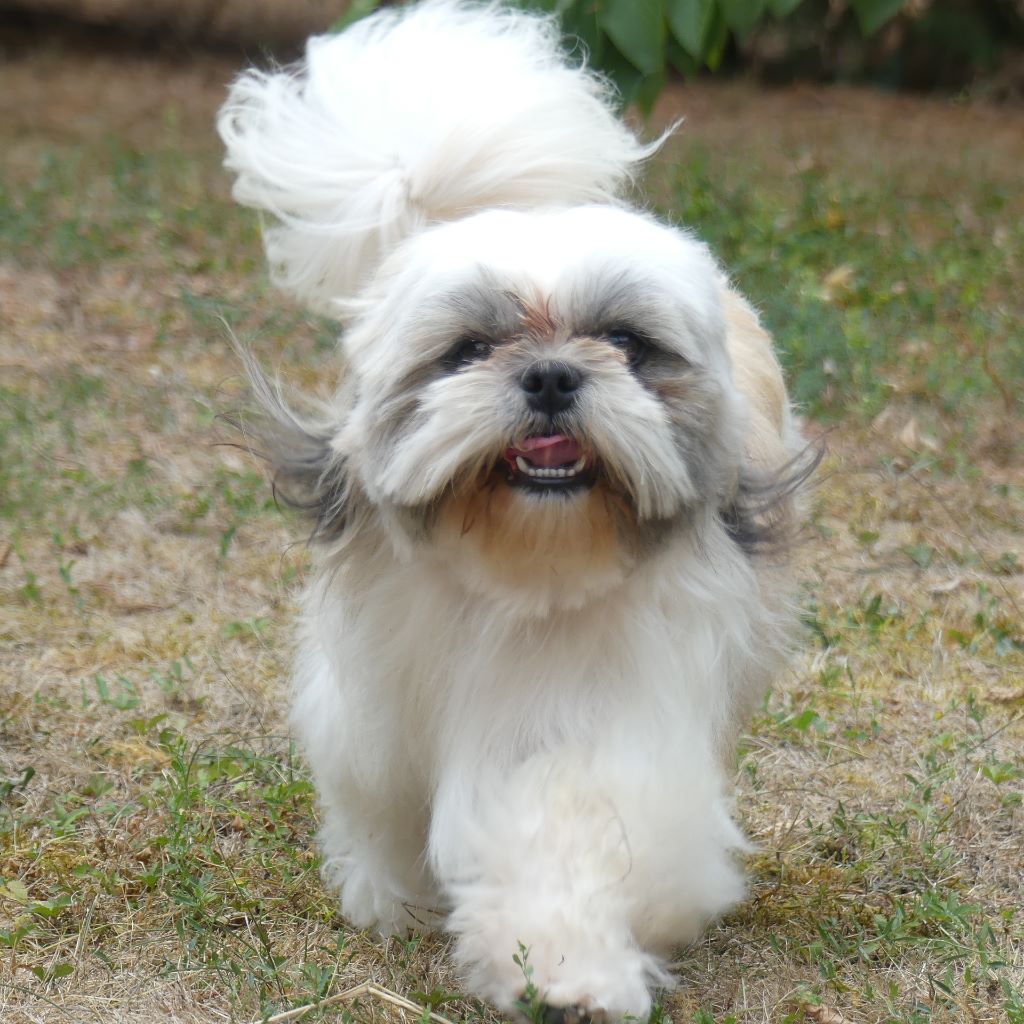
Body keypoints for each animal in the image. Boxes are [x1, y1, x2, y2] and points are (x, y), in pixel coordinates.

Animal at [218, 4, 815, 1019]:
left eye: (625, 343)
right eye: (469, 350)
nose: (549, 374)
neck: (519, 575)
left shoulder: (602, 719)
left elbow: (568, 834)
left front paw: (568, 966)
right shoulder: (374, 701)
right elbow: (378, 799)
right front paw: (388, 895)